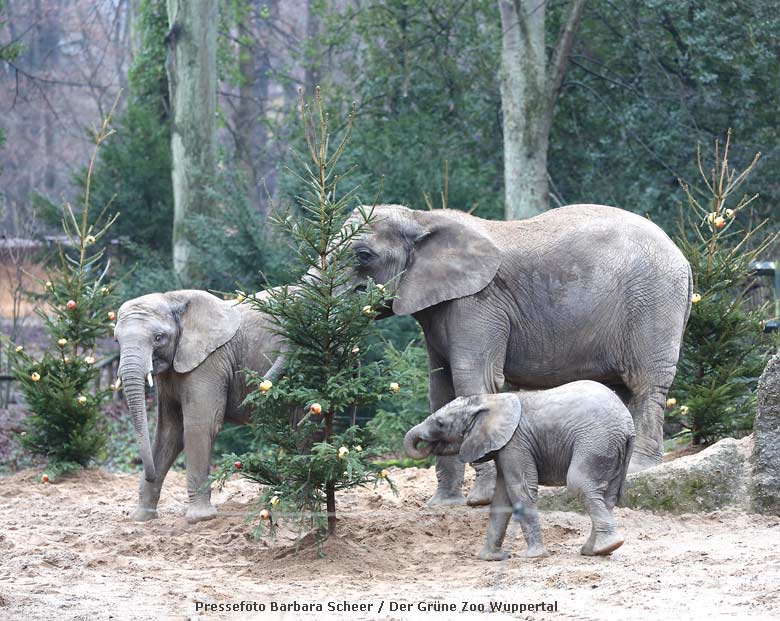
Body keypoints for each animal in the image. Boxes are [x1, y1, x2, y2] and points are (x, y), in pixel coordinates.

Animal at [114, 288, 284, 520]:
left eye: (158, 338)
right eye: (116, 341)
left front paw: (200, 518)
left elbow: (199, 426)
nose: (149, 474)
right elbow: (169, 431)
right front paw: (141, 518)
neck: (172, 298)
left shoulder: (209, 362)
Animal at [348, 203, 688, 504]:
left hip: (653, 301)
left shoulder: (478, 301)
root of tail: (683, 258)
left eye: (363, 255)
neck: (420, 218)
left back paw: (640, 468)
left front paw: (481, 501)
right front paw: (443, 504)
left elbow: (473, 379)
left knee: (645, 384)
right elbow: (440, 390)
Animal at [406, 380, 636, 560]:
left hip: (596, 441)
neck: (490, 400)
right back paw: (595, 550)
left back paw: (607, 546)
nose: (425, 444)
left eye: (440, 423)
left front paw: (534, 556)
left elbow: (520, 490)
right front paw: (490, 558)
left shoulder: (515, 442)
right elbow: (501, 497)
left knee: (579, 484)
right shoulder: (504, 447)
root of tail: (627, 424)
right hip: (612, 448)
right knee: (608, 495)